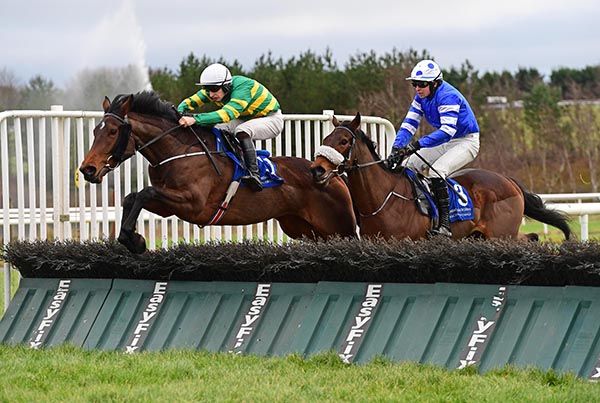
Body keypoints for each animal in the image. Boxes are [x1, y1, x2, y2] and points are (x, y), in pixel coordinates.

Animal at [79, 93, 356, 254]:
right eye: (95, 131)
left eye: (113, 131)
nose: (87, 169)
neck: (178, 150)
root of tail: (330, 175)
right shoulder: (169, 204)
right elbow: (132, 197)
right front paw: (132, 238)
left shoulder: (192, 203)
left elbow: (144, 193)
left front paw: (135, 239)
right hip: (301, 228)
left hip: (339, 227)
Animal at [310, 112, 572, 241]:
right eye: (325, 139)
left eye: (344, 141)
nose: (317, 170)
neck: (383, 200)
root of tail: (509, 181)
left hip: (501, 236)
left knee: (530, 239)